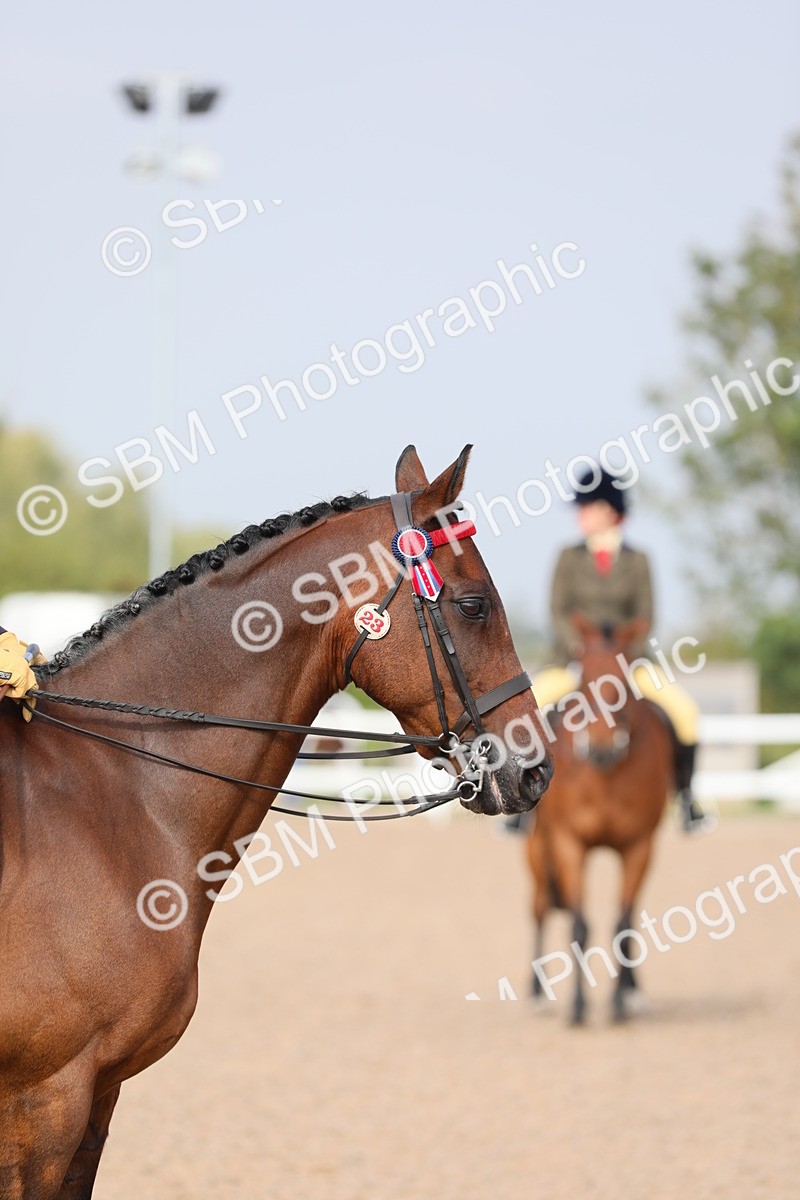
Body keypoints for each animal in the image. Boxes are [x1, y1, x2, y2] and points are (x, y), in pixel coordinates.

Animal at [526, 615, 673, 1025]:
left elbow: (622, 924)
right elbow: (579, 923)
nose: (601, 749)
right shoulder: (568, 843)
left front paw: (620, 1003)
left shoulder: (639, 847)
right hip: (537, 854)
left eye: (624, 679)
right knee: (539, 910)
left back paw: (633, 993)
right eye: (583, 675)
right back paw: (536, 993)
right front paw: (578, 1008)